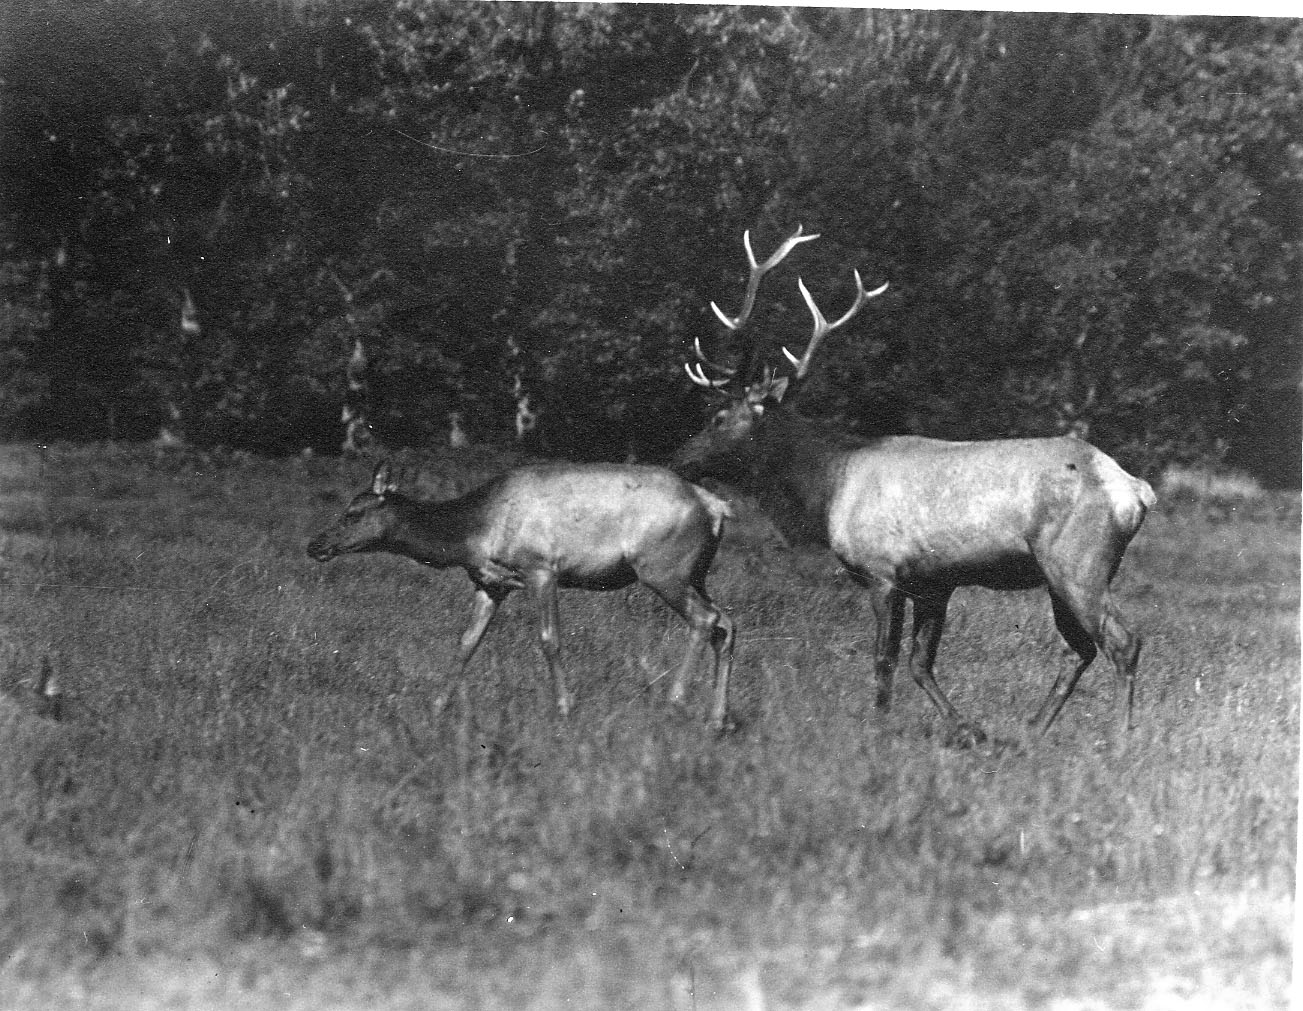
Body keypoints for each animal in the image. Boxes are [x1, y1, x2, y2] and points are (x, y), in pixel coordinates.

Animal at [307, 461, 736, 730]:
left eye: (353, 513)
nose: (314, 545)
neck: (470, 535)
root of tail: (717, 507)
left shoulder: (540, 569)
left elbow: (549, 640)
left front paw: (564, 708)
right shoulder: (489, 583)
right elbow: (466, 643)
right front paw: (437, 707)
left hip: (663, 570)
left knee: (705, 619)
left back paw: (675, 698)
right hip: (694, 574)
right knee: (727, 623)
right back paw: (717, 718)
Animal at [673, 226, 1156, 745]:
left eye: (719, 417)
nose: (679, 459)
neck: (828, 486)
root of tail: (1135, 491)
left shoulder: (883, 572)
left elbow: (883, 659)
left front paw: (877, 727)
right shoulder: (933, 583)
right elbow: (920, 663)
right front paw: (967, 729)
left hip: (1078, 562)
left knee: (1122, 642)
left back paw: (1121, 739)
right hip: (1060, 574)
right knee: (1079, 649)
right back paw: (1031, 731)